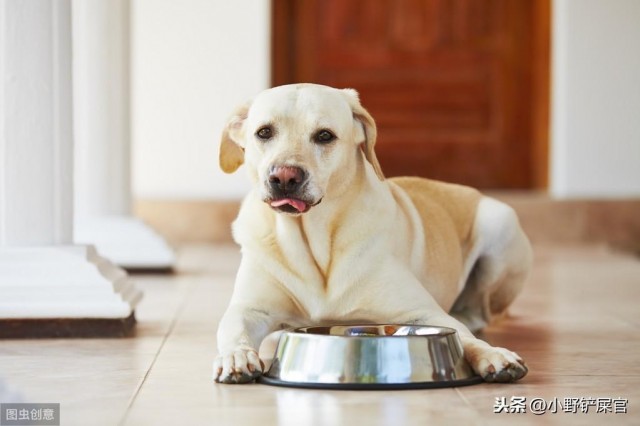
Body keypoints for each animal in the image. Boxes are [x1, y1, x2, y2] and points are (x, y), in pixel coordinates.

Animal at [212, 82, 532, 382]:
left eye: (324, 135)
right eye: (264, 132)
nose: (284, 177)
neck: (314, 242)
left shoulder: (424, 312)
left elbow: (463, 336)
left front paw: (493, 354)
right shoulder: (249, 310)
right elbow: (233, 330)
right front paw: (236, 356)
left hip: (500, 224)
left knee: (478, 314)